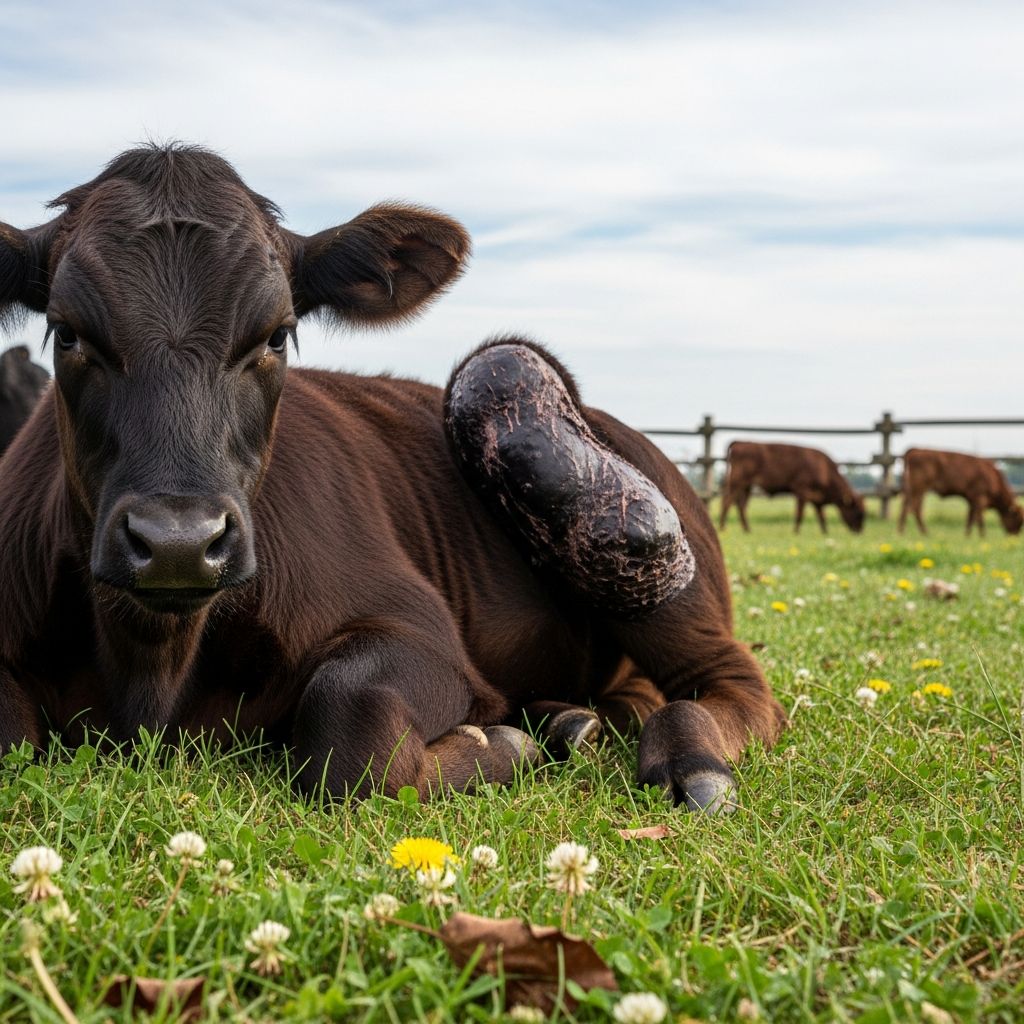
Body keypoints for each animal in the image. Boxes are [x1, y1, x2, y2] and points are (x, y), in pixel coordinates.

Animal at [0, 145, 785, 813]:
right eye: (68, 333)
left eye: (277, 334)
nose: (178, 543)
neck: (154, 673)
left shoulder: (421, 632)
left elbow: (352, 727)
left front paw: (497, 746)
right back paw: (570, 719)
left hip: (644, 555)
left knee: (733, 682)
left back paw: (686, 757)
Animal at [719, 441, 865, 534]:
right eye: (858, 512)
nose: (859, 531)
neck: (823, 468)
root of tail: (739, 443)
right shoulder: (802, 491)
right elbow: (800, 514)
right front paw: (796, 531)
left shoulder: (816, 498)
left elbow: (821, 516)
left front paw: (825, 532)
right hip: (737, 483)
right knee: (727, 502)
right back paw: (723, 528)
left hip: (747, 486)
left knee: (741, 506)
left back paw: (747, 529)